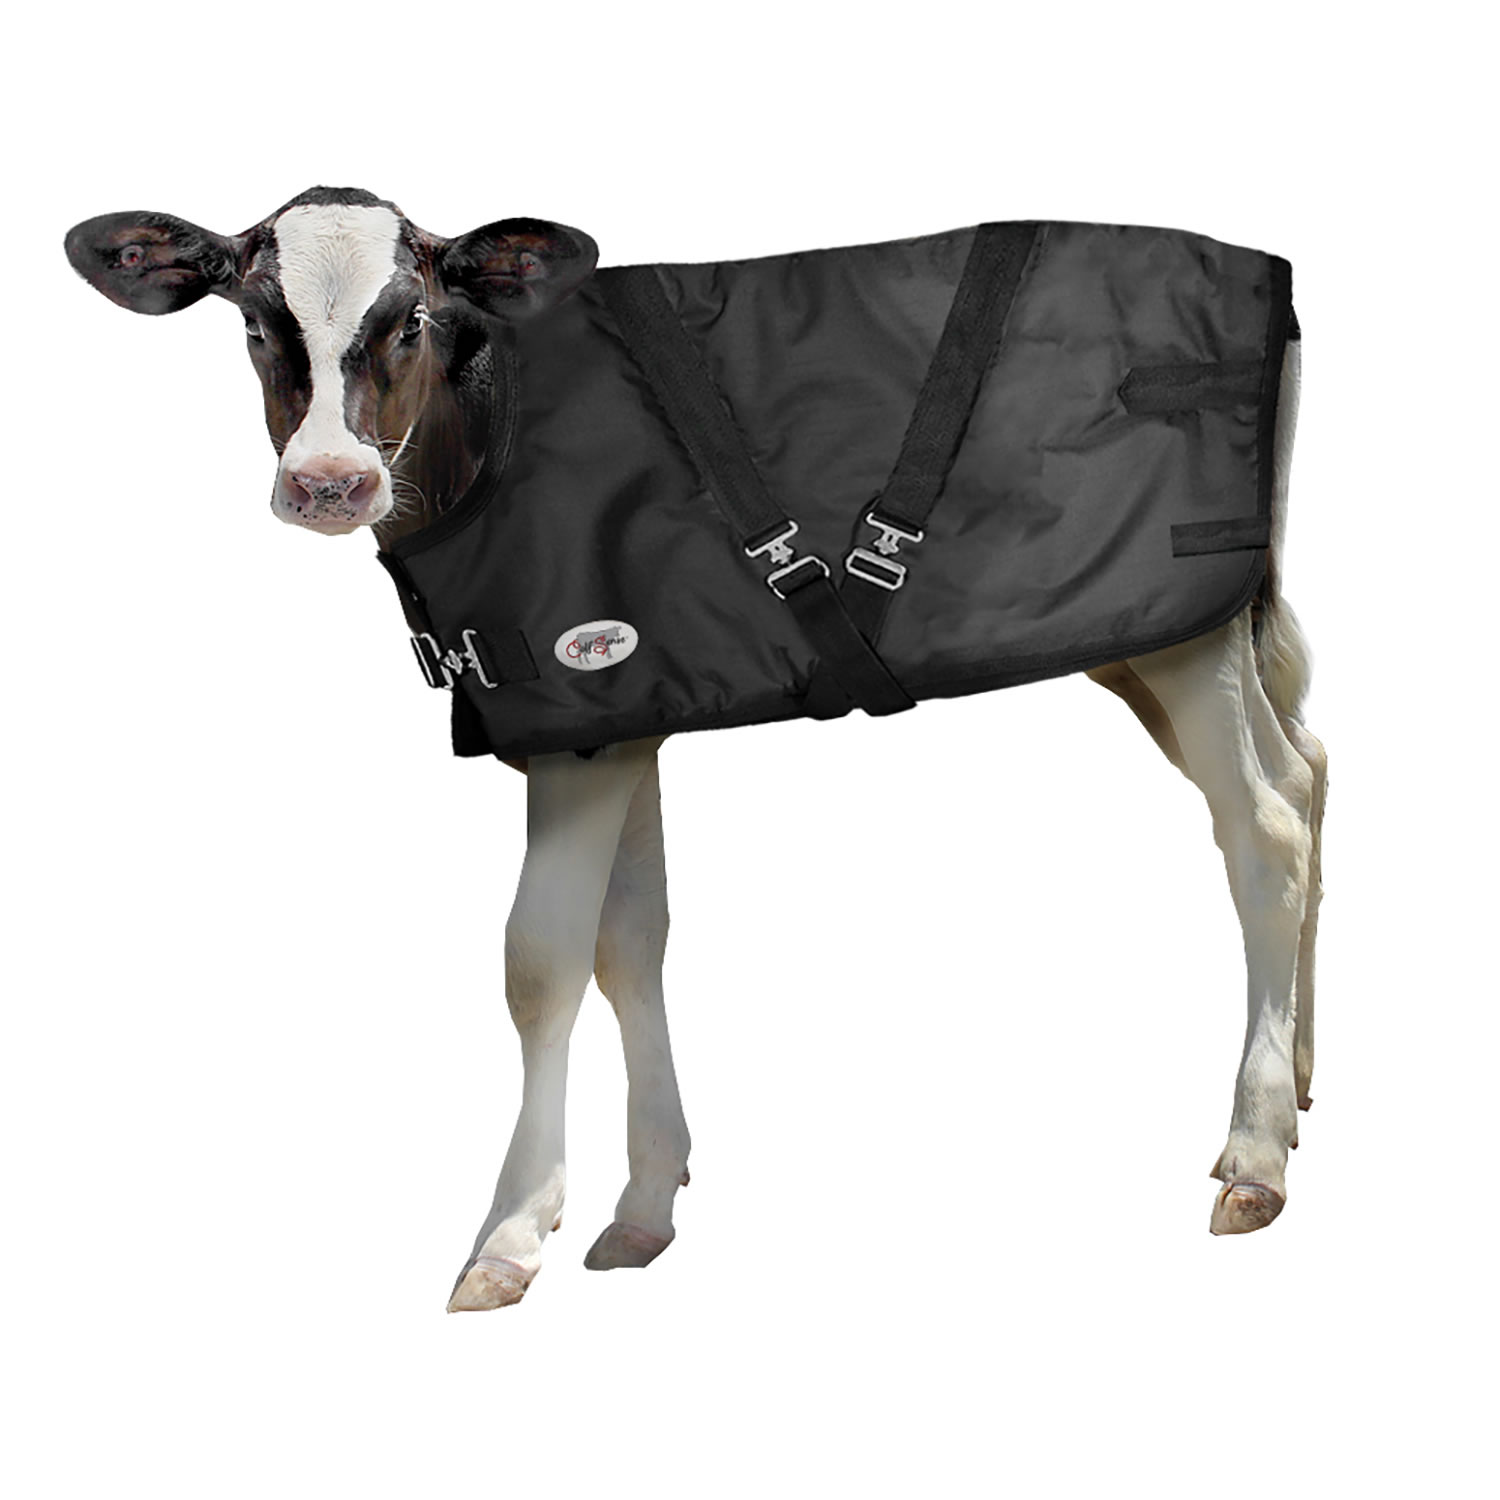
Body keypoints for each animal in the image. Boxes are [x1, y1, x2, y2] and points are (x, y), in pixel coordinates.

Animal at [64, 186, 1327, 1312]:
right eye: (253, 324)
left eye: (410, 319)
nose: (330, 482)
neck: (491, 432)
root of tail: (1266, 273)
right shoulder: (618, 720)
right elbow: (631, 941)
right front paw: (642, 1208)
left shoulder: (583, 718)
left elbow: (541, 961)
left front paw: (509, 1234)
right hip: (1162, 641)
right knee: (1304, 770)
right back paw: (1301, 1082)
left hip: (1181, 634)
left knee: (1263, 831)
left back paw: (1256, 1156)